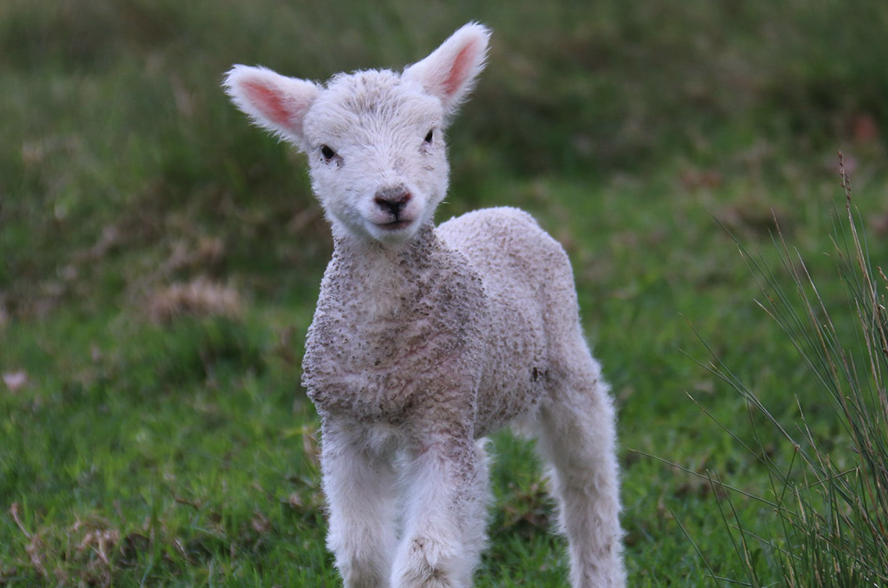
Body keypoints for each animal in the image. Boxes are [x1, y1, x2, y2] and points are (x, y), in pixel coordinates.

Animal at [222, 23, 624, 588]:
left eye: (430, 135)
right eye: (326, 151)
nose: (392, 198)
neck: (383, 353)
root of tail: (504, 211)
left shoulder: (440, 424)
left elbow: (428, 560)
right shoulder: (345, 432)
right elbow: (360, 550)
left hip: (565, 363)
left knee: (588, 481)